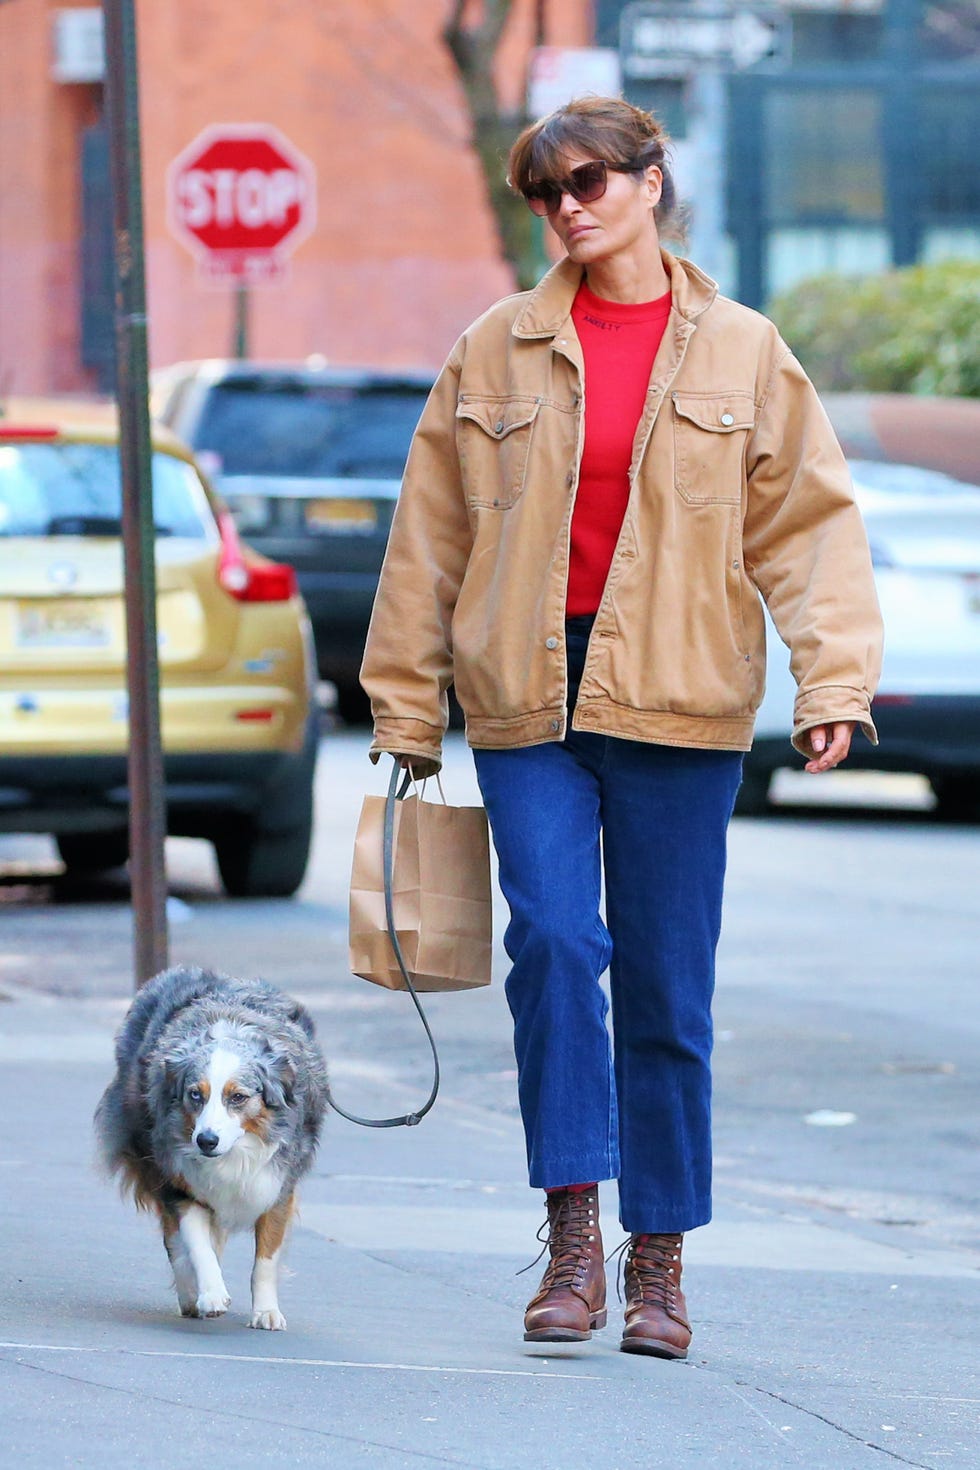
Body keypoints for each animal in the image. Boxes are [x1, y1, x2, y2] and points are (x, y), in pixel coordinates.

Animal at [97, 964, 332, 1334]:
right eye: (195, 1094)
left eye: (238, 1097)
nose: (206, 1140)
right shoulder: (179, 1182)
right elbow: (197, 1244)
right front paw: (210, 1294)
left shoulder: (277, 1187)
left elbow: (266, 1259)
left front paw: (266, 1311)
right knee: (177, 1241)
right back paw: (190, 1294)